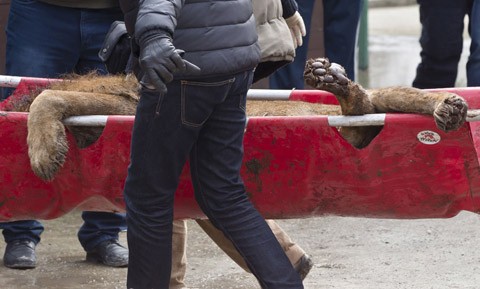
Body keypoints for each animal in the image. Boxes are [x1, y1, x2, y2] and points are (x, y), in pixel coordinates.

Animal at [4, 57, 468, 181]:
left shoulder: (125, 103)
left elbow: (48, 95)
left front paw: (44, 155)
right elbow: (50, 96)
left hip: (378, 102)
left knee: (382, 99)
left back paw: (449, 106)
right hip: (359, 124)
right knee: (361, 115)